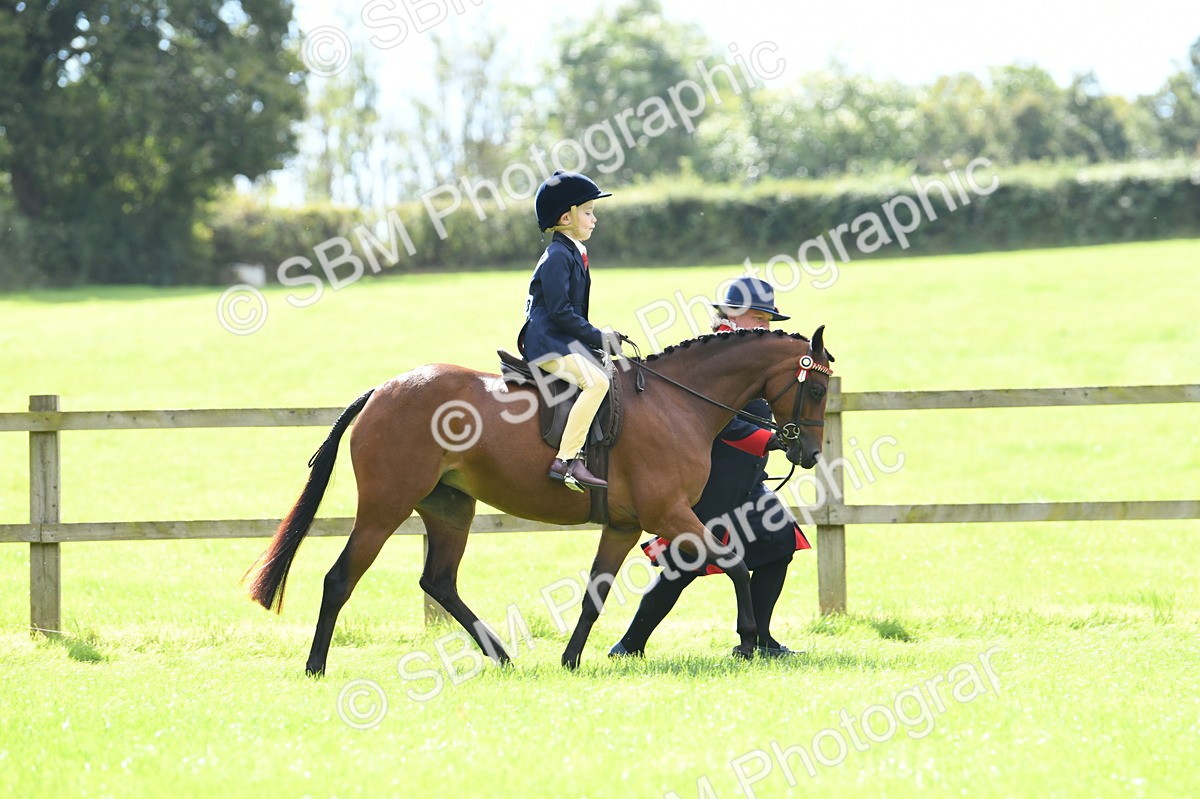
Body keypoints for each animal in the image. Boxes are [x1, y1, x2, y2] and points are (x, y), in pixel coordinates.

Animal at [245, 326, 833, 674]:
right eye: (818, 389)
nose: (807, 452)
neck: (677, 402)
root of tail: (383, 390)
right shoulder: (669, 515)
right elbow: (733, 563)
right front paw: (750, 639)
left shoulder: (625, 526)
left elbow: (596, 594)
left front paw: (570, 659)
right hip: (385, 508)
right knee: (340, 578)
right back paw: (316, 667)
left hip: (449, 509)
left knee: (439, 581)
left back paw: (500, 655)